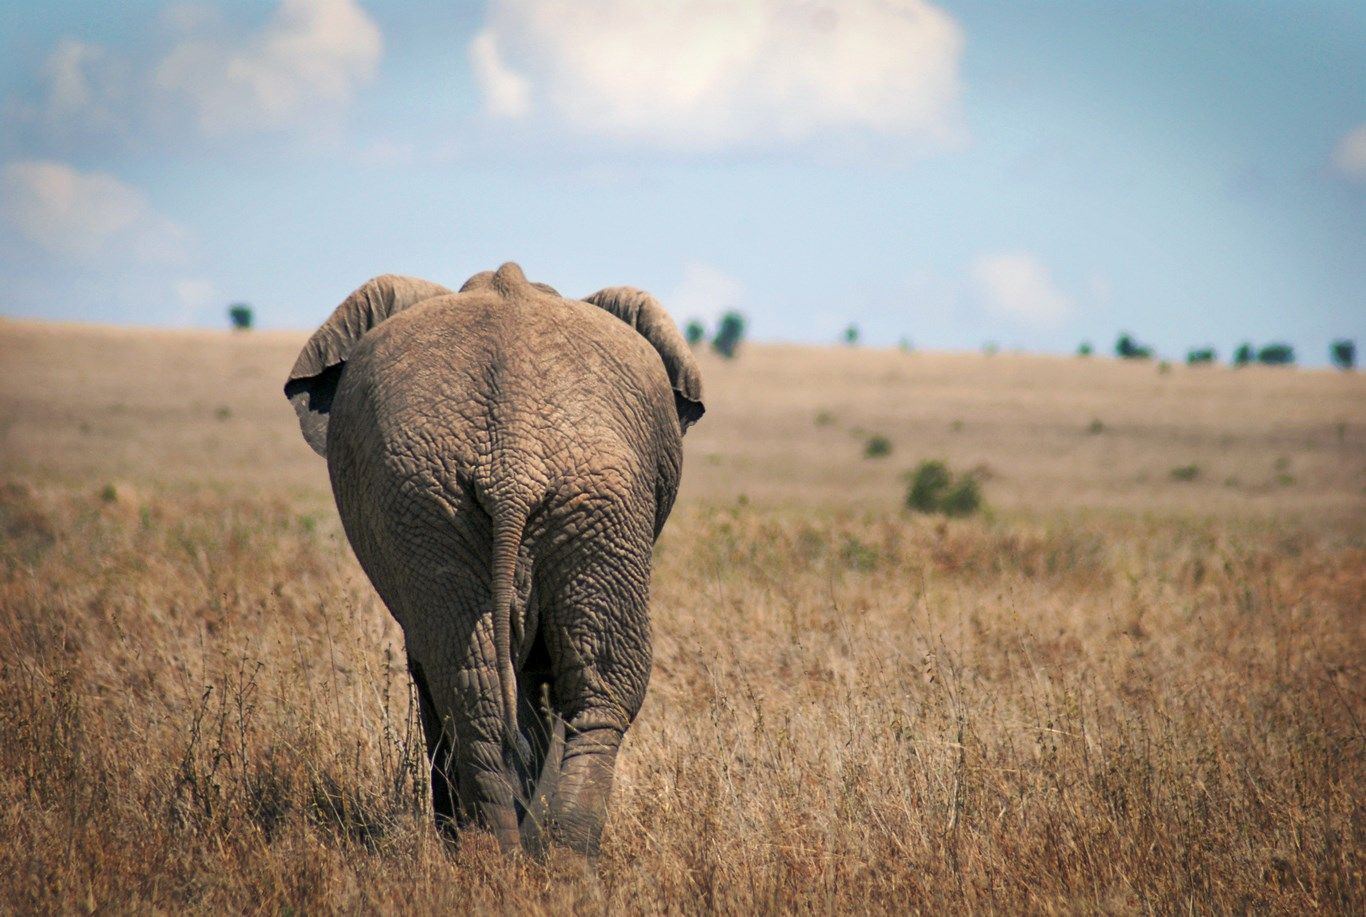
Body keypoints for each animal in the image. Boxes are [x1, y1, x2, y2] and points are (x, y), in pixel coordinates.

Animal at [278, 263, 704, 863]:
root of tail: (513, 459)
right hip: (468, 503)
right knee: (529, 686)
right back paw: (533, 859)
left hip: (535, 502)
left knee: (512, 684)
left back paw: (521, 858)